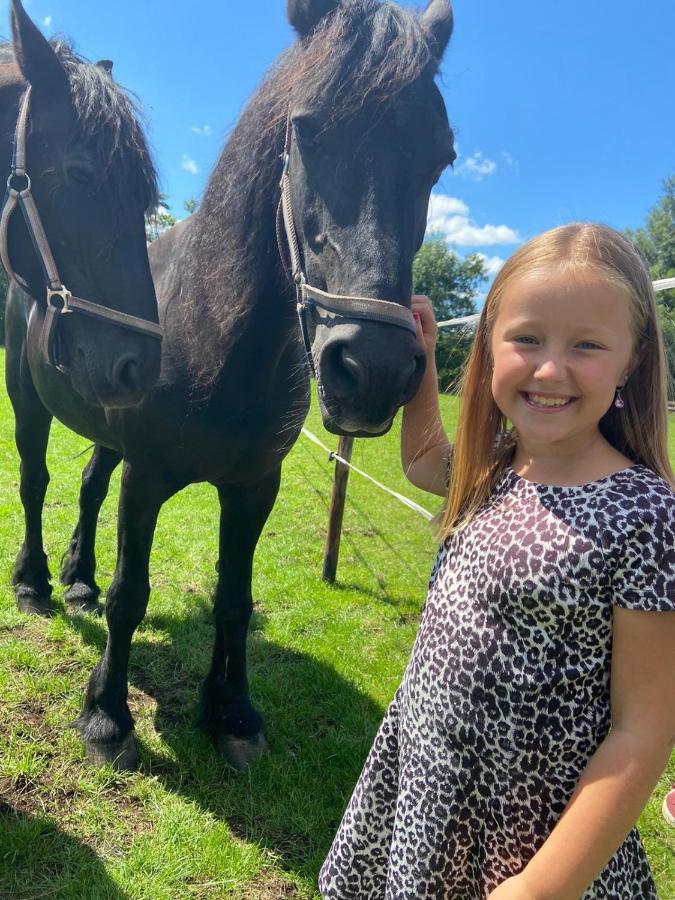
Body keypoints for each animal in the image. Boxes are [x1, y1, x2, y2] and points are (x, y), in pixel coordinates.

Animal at [3, 0, 161, 620]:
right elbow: (32, 476)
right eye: (80, 174)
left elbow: (85, 483)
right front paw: (30, 577)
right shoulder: (20, 386)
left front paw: (62, 574)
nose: (142, 367)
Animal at [46, 0, 454, 768]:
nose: (374, 370)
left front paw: (230, 709)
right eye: (306, 129)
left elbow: (234, 599)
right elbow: (130, 594)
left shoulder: (253, 486)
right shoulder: (146, 477)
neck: (217, 340)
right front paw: (108, 714)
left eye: (441, 156)